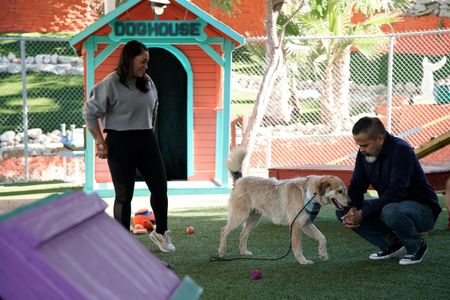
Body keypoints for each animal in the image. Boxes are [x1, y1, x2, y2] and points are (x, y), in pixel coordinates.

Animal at [219, 149, 352, 264]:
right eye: (340, 191)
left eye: (346, 190)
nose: (350, 203)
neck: (308, 193)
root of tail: (239, 180)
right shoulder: (297, 226)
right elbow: (298, 246)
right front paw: (303, 261)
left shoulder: (306, 224)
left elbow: (323, 238)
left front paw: (323, 254)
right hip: (239, 216)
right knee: (223, 231)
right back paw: (221, 252)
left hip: (254, 219)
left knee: (243, 235)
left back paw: (244, 252)